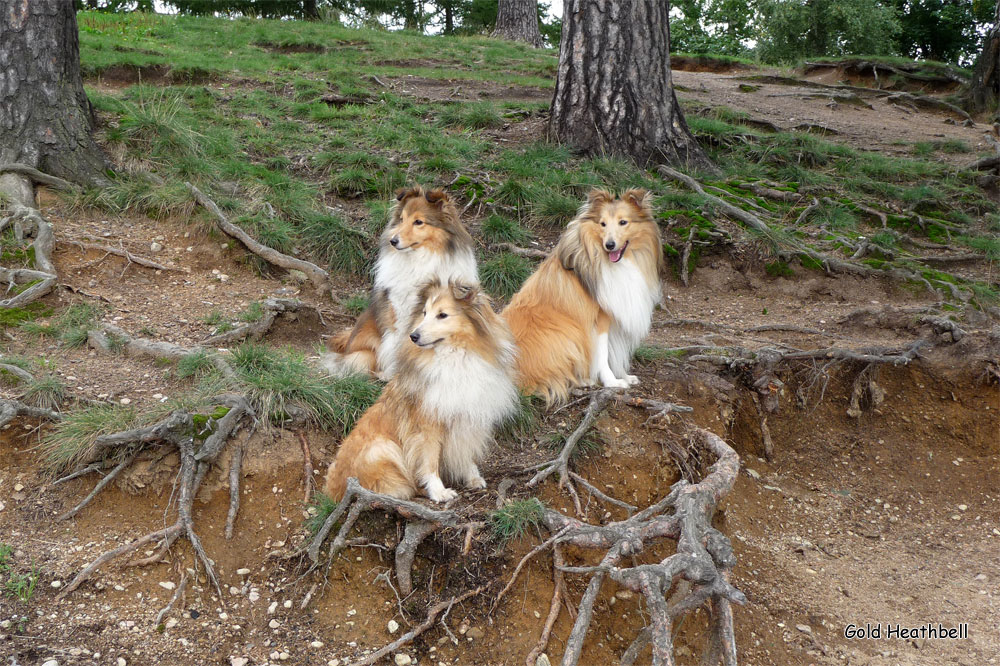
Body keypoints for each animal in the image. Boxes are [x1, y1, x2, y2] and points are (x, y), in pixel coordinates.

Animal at [324, 278, 520, 500]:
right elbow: (429, 460)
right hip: (382, 448)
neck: (455, 357)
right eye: (424, 313)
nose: (413, 336)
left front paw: (472, 477)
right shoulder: (427, 426)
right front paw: (439, 491)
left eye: (442, 315)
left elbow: (466, 452)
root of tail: (331, 491)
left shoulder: (469, 418)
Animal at [500, 188, 664, 404]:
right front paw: (612, 382)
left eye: (623, 222)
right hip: (565, 333)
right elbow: (602, 354)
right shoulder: (599, 320)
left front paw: (624, 376)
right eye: (602, 224)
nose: (610, 245)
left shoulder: (614, 318)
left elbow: (613, 353)